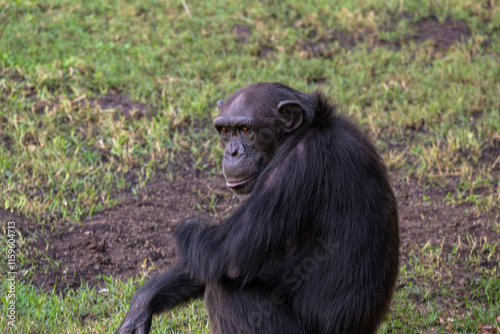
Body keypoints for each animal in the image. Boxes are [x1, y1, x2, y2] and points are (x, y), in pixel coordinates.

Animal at [116, 83, 398, 334]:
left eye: (245, 129)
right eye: (224, 130)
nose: (232, 152)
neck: (304, 132)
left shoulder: (294, 167)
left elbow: (227, 254)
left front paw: (189, 226)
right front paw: (144, 303)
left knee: (224, 290)